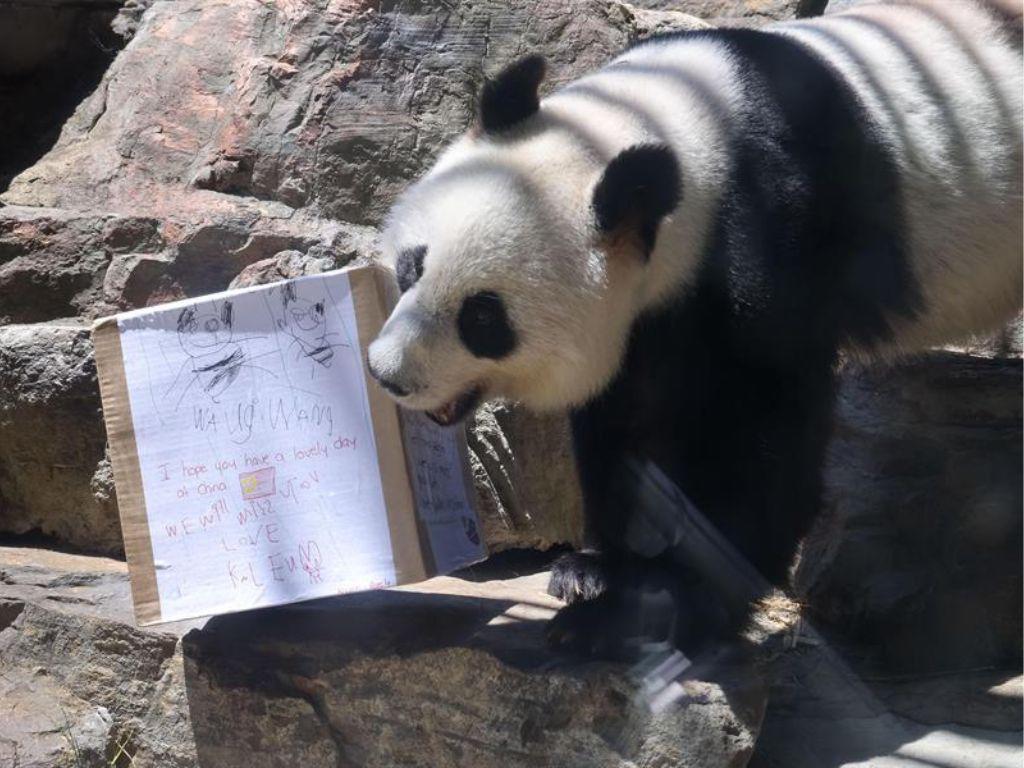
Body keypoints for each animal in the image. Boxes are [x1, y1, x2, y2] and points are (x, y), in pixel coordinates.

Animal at [367, 0, 1023, 658]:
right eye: (412, 267)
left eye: (483, 317)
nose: (388, 374)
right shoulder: (653, 307)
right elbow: (628, 416)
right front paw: (594, 571)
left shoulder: (771, 233)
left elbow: (763, 426)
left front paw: (649, 610)